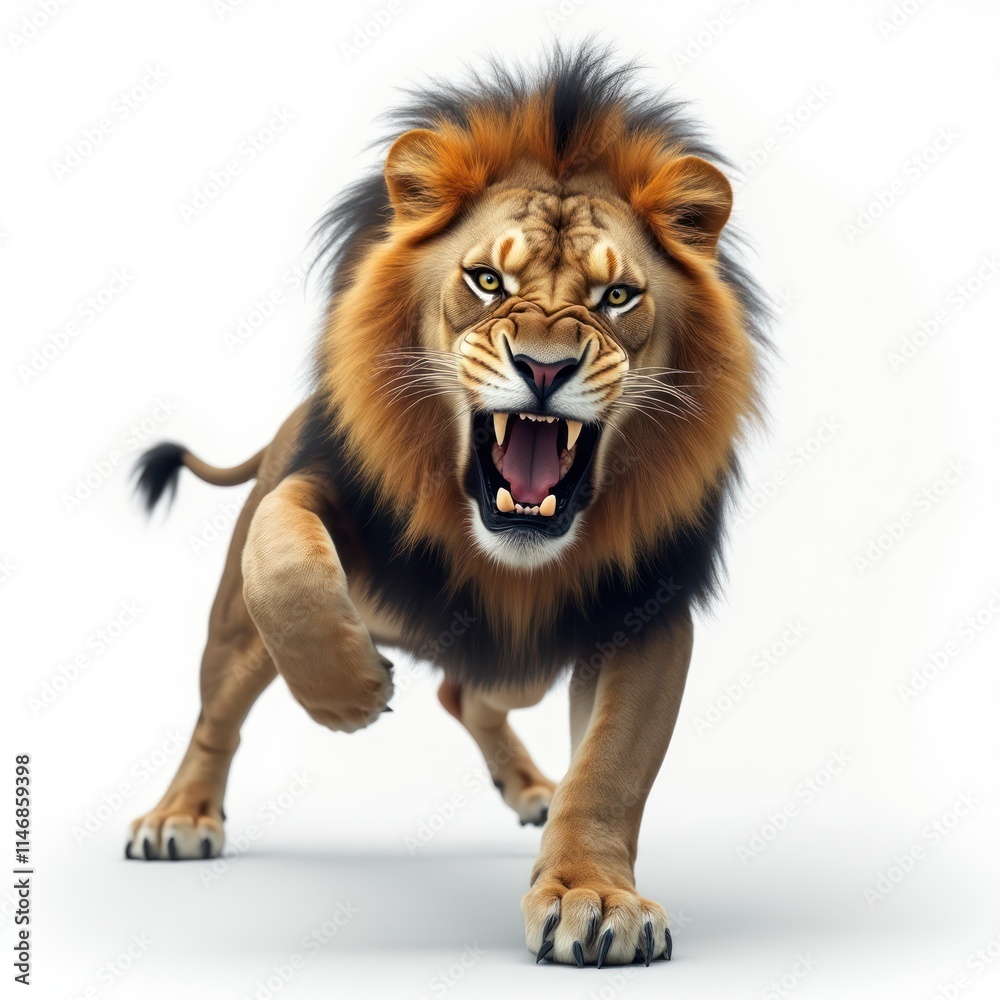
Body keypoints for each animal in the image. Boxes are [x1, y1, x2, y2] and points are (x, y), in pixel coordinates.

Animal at [125, 46, 767, 968]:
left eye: (616, 298)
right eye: (487, 280)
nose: (545, 367)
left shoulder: (645, 607)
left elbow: (610, 769)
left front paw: (592, 898)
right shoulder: (327, 495)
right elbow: (285, 554)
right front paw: (350, 693)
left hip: (524, 669)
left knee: (471, 695)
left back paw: (532, 789)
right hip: (236, 635)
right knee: (218, 711)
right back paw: (181, 815)